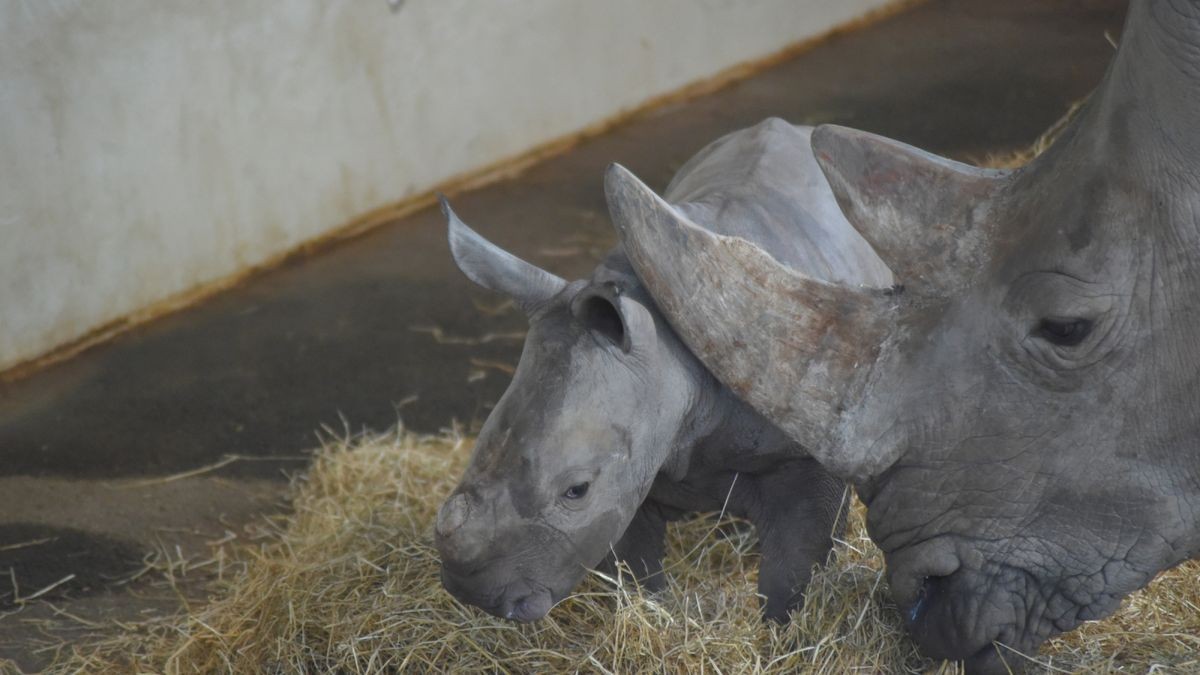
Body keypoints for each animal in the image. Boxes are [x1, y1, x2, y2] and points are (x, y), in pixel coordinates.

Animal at [434, 119, 892, 619]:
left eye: (576, 490)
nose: (472, 594)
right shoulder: (633, 468)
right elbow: (637, 569)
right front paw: (654, 608)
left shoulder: (809, 450)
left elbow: (792, 571)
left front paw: (781, 624)